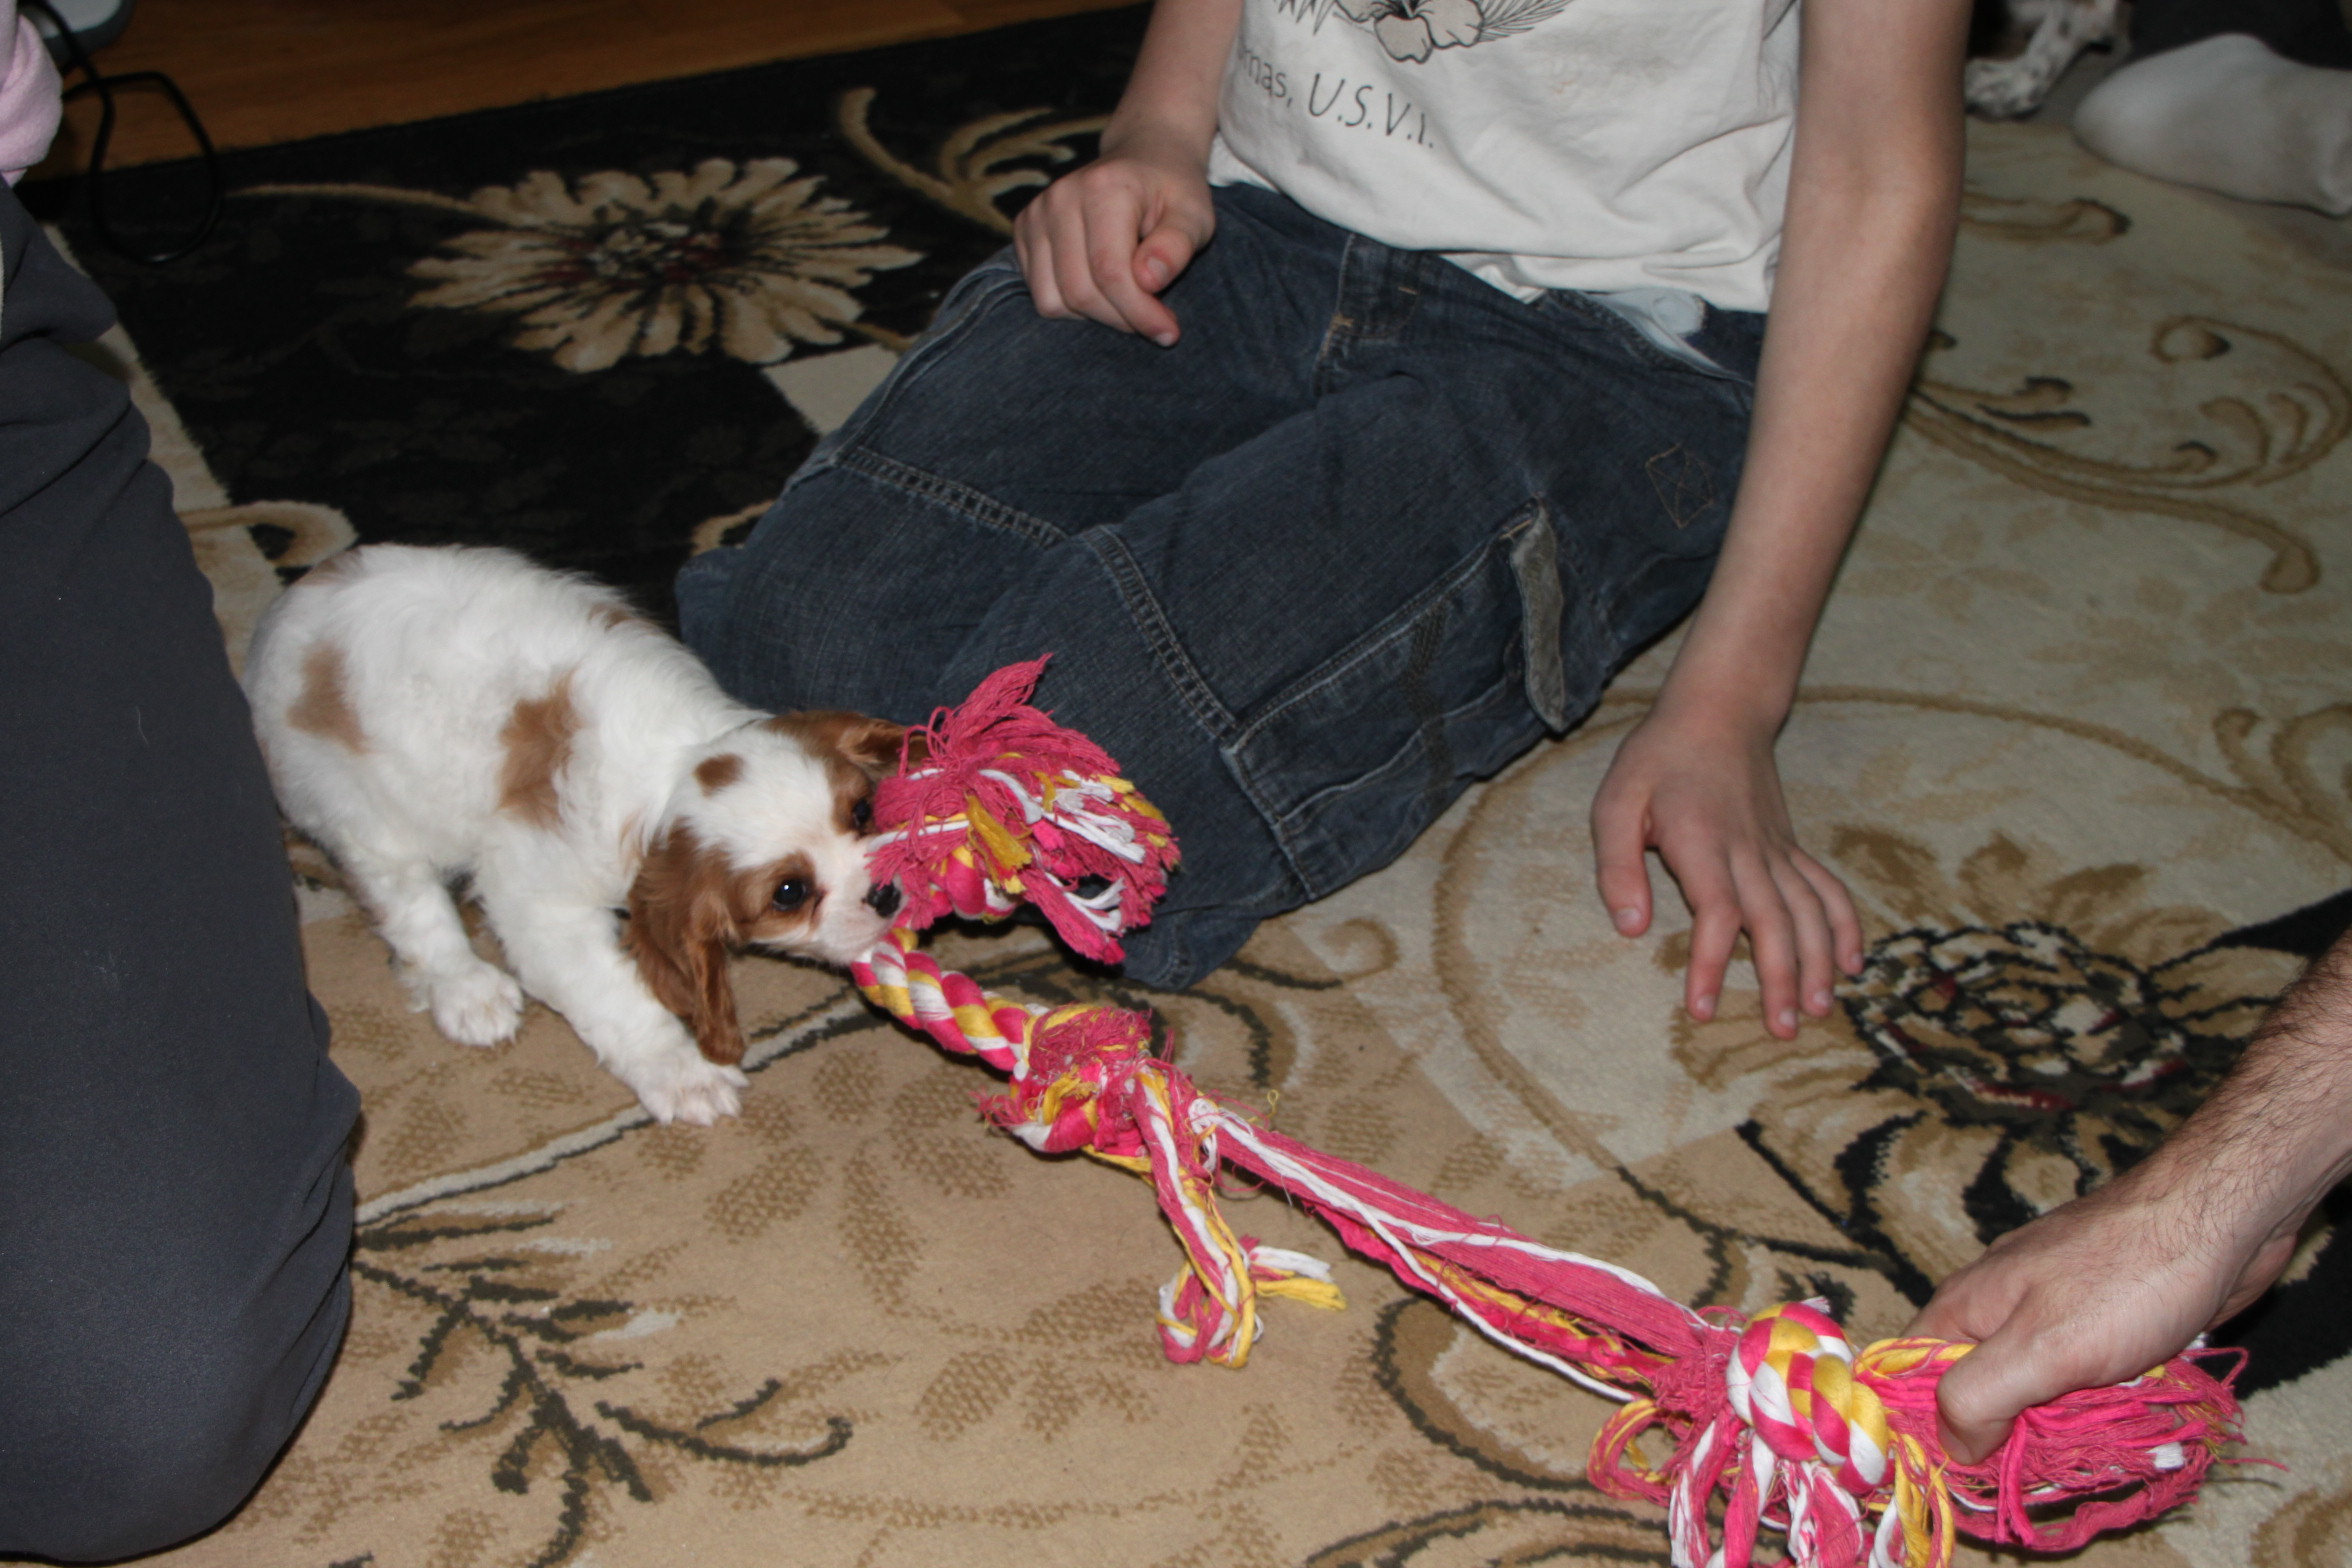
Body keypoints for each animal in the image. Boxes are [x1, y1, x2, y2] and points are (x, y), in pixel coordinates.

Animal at [245, 544, 906, 1125]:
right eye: (789, 894)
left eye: (862, 811)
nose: (887, 892)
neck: (673, 767)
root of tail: (285, 611)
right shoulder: (538, 899)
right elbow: (614, 992)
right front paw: (682, 1073)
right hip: (358, 808)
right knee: (406, 899)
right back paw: (467, 990)